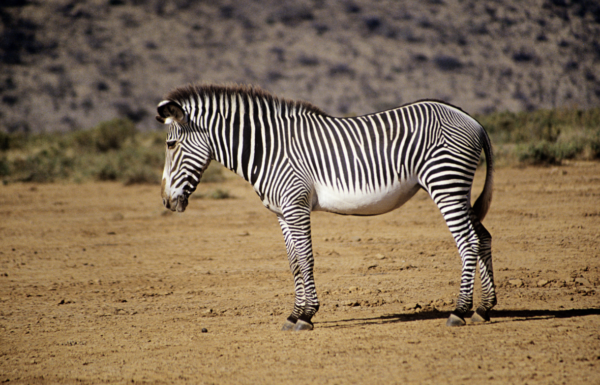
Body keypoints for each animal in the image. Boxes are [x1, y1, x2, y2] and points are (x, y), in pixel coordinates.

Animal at [157, 84, 494, 330]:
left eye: (171, 145)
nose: (166, 201)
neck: (268, 150)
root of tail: (474, 120)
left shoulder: (296, 206)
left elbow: (306, 259)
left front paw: (307, 316)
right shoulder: (283, 213)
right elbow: (293, 262)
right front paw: (294, 314)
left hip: (445, 183)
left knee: (468, 242)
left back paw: (459, 311)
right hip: (456, 189)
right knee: (483, 238)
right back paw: (484, 309)